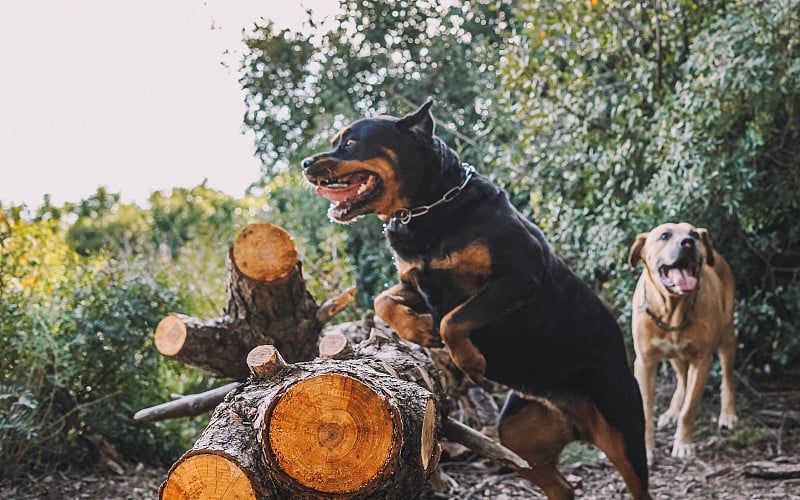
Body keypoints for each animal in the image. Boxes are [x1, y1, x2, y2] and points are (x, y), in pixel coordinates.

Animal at [304, 99, 648, 498]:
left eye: (350, 142)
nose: (306, 163)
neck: (426, 209)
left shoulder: (518, 277)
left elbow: (455, 319)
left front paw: (468, 360)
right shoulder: (417, 285)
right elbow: (383, 300)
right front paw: (419, 331)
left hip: (622, 428)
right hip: (517, 437)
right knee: (561, 486)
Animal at [632, 223, 736, 464]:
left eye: (694, 234)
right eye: (664, 235)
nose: (689, 243)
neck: (672, 310)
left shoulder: (702, 360)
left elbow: (689, 409)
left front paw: (683, 444)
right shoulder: (645, 362)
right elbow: (645, 410)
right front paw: (646, 449)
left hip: (727, 336)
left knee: (727, 378)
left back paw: (728, 414)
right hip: (674, 355)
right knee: (681, 380)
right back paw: (671, 412)